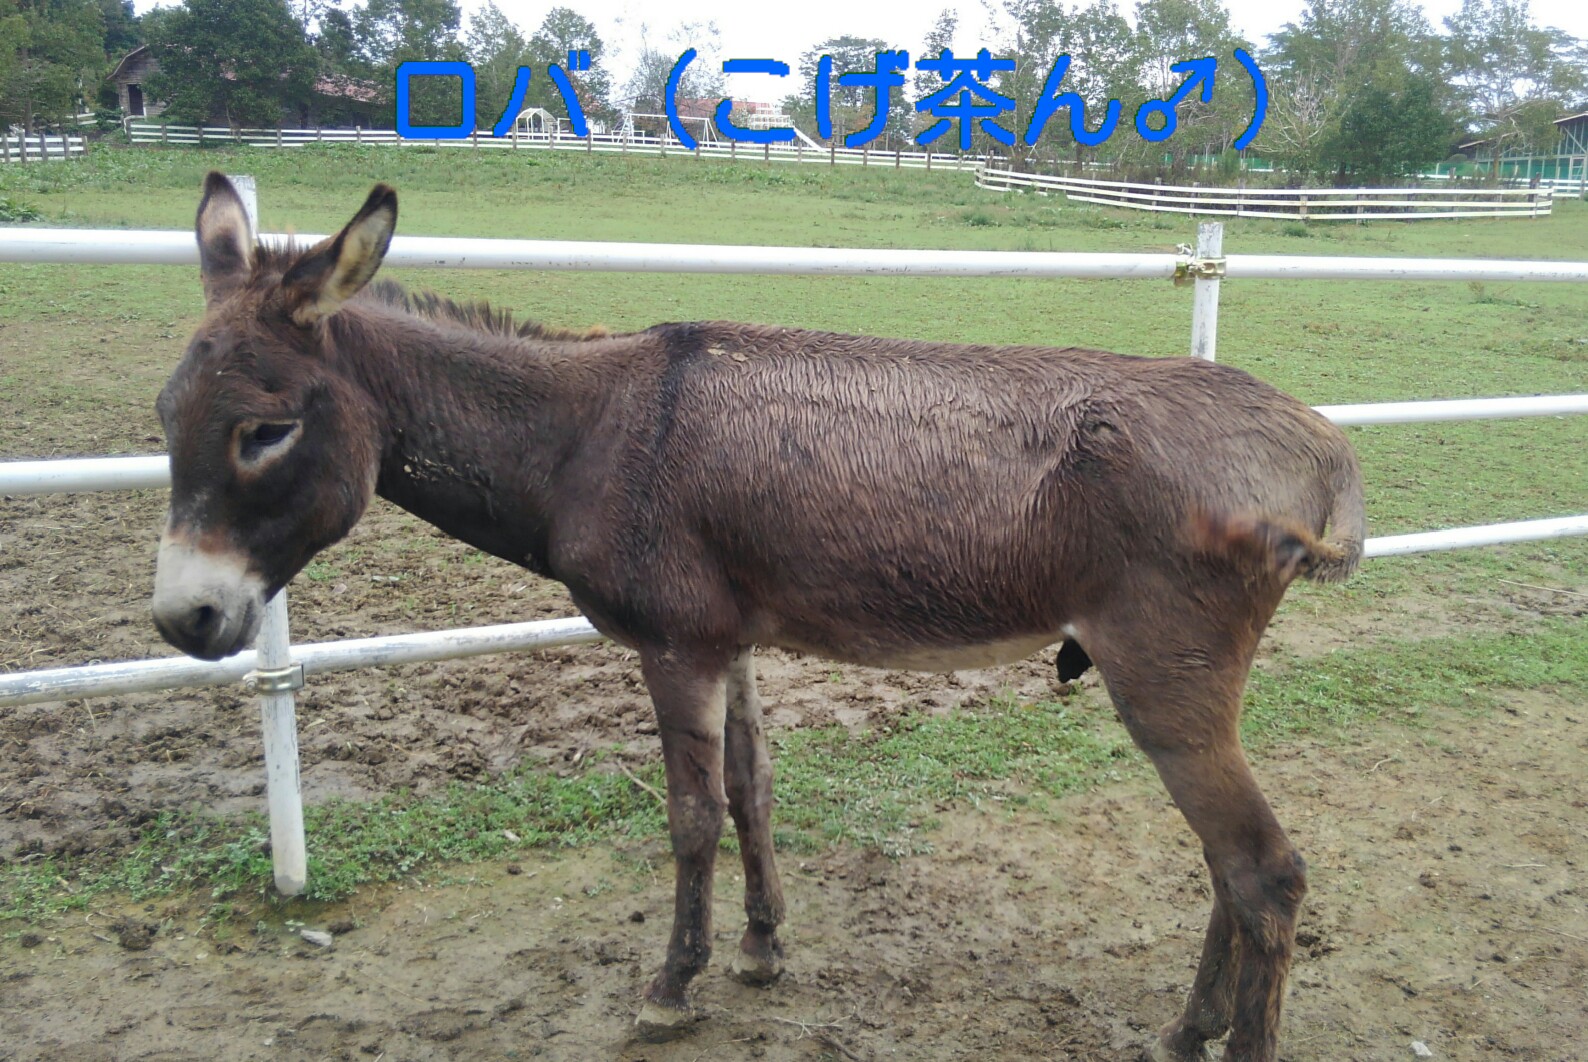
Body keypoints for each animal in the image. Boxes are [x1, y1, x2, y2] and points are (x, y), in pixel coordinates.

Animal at [151, 173, 1365, 1061]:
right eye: (164, 417)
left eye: (263, 431)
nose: (182, 619)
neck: (586, 436)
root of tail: (1320, 444)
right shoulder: (728, 639)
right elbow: (751, 789)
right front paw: (762, 949)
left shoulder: (674, 645)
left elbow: (690, 817)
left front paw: (670, 987)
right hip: (1177, 687)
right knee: (1231, 868)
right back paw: (1187, 1032)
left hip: (1163, 677)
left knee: (1265, 872)